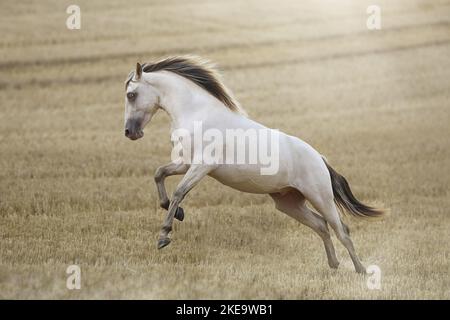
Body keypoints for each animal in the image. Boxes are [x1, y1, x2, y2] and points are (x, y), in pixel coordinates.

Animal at [124, 55, 384, 272]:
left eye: (131, 95)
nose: (129, 132)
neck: (197, 113)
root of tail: (320, 158)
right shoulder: (184, 163)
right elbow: (159, 174)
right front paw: (175, 212)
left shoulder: (202, 166)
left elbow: (179, 191)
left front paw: (164, 235)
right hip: (288, 203)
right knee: (321, 226)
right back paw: (333, 265)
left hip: (320, 197)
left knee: (342, 230)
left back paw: (361, 270)